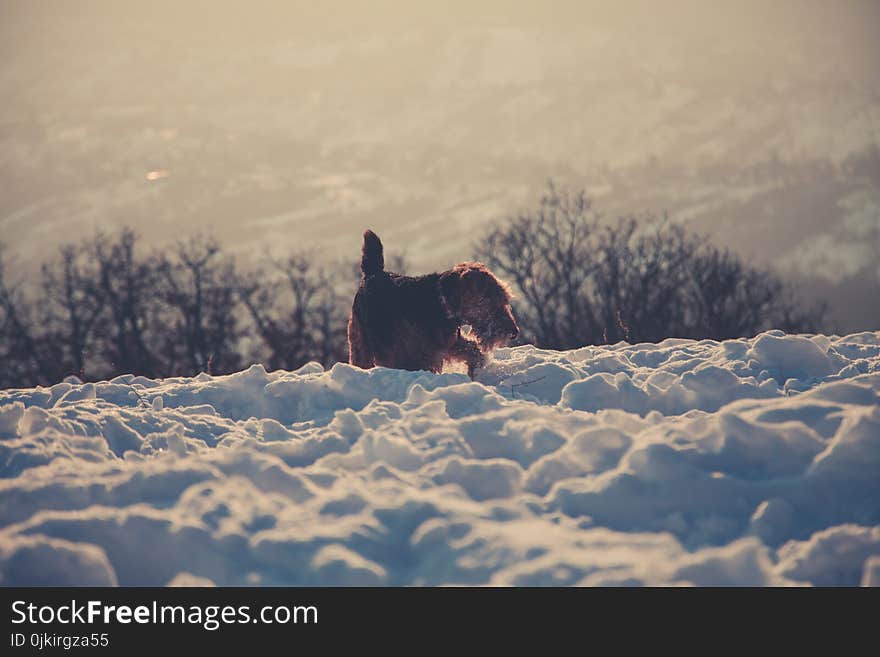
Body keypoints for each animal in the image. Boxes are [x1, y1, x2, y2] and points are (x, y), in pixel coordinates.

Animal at [348, 229, 520, 380]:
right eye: (486, 299)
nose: (514, 332)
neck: (440, 304)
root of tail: (373, 273)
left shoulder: (447, 345)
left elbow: (473, 351)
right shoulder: (411, 359)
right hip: (360, 343)